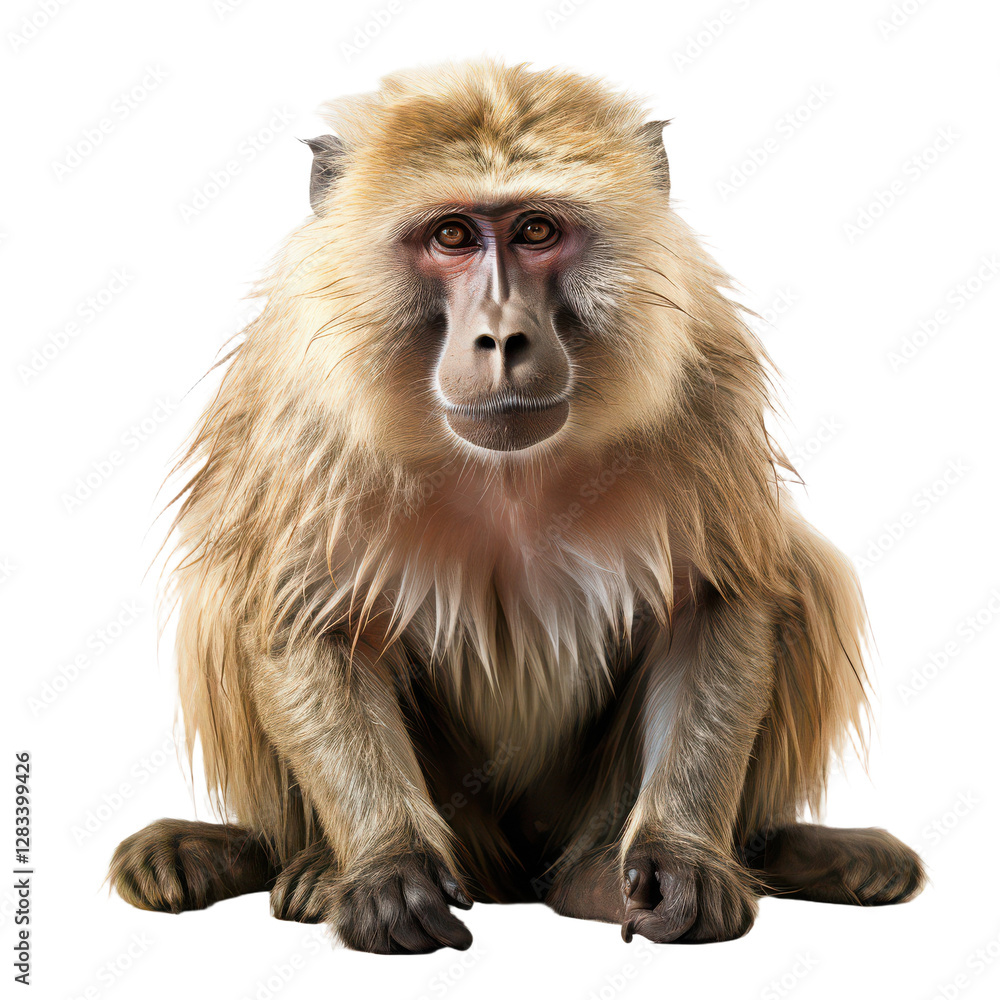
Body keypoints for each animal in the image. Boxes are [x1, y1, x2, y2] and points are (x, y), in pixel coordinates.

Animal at [108, 59, 925, 953]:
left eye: (536, 230)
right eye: (452, 237)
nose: (502, 338)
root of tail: (513, 877)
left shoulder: (702, 386)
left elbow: (716, 604)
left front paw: (682, 858)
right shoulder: (309, 418)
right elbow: (304, 620)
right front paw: (387, 867)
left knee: (803, 569)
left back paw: (650, 868)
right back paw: (304, 864)